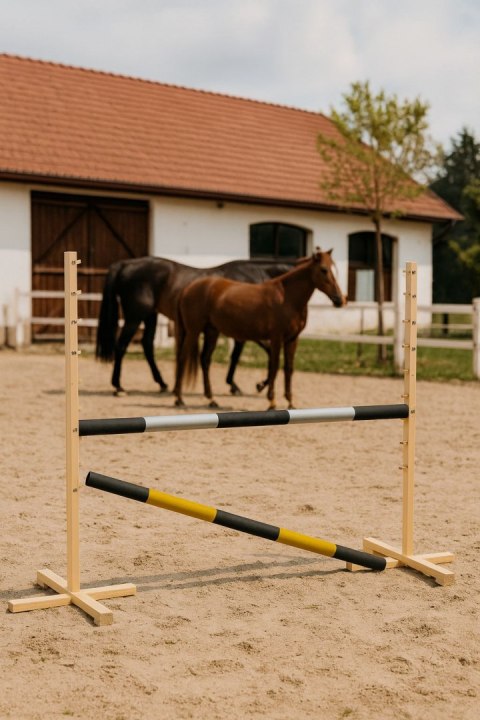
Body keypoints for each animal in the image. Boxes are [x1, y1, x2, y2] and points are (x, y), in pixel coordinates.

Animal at [95, 256, 294, 396]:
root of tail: (125, 264)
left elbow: (239, 356)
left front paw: (238, 384)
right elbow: (266, 353)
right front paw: (256, 384)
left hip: (150, 316)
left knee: (147, 345)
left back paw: (162, 383)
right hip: (135, 317)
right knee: (121, 346)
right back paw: (119, 386)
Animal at [174, 249, 346, 410]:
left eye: (335, 269)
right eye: (324, 269)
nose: (339, 300)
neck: (286, 297)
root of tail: (188, 288)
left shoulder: (292, 339)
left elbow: (289, 368)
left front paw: (290, 402)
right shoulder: (276, 338)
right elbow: (274, 366)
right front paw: (272, 401)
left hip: (212, 332)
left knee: (205, 360)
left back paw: (211, 399)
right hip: (193, 331)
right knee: (182, 358)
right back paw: (179, 399)